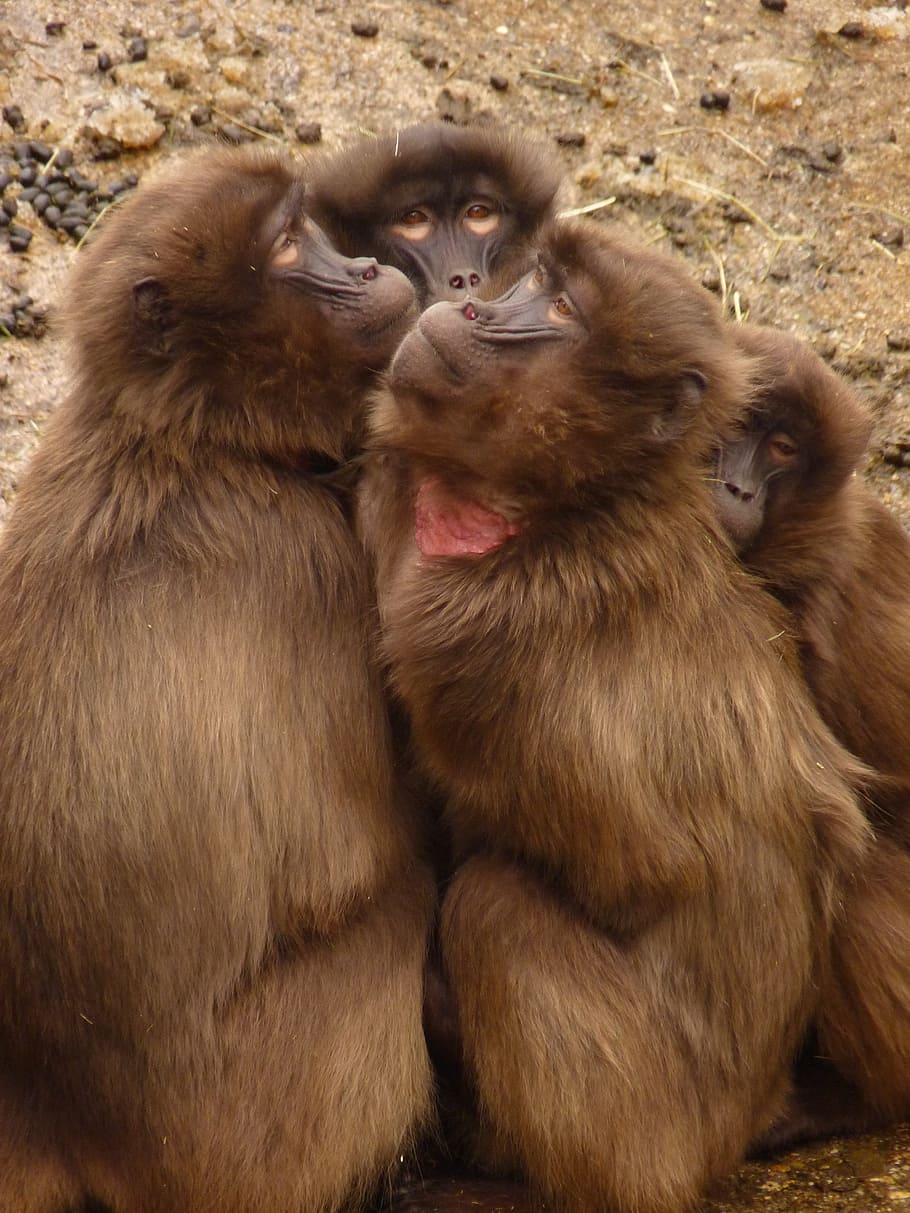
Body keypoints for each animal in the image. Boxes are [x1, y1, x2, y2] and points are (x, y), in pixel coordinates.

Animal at [0, 146, 436, 1213]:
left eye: (309, 226)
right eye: (286, 248)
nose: (371, 270)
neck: (191, 442)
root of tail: (62, 1118)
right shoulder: (307, 559)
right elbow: (360, 851)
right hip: (248, 1130)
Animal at [356, 219, 873, 1213]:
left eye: (559, 309)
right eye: (536, 280)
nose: (471, 309)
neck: (557, 510)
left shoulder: (489, 644)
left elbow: (632, 873)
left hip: (663, 1119)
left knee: (497, 907)